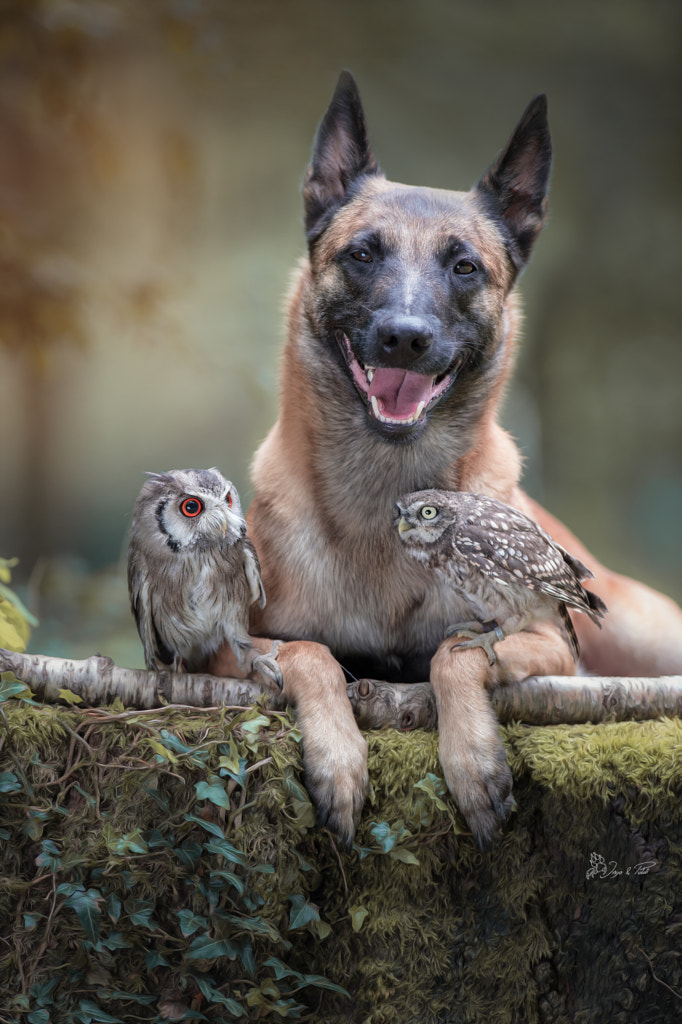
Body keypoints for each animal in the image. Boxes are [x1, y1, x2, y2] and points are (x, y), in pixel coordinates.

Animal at [208, 72, 679, 851]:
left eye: (465, 267)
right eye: (362, 254)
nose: (405, 338)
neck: (387, 503)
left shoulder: (548, 640)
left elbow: (449, 655)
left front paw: (473, 759)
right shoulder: (219, 650)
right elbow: (310, 653)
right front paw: (338, 760)